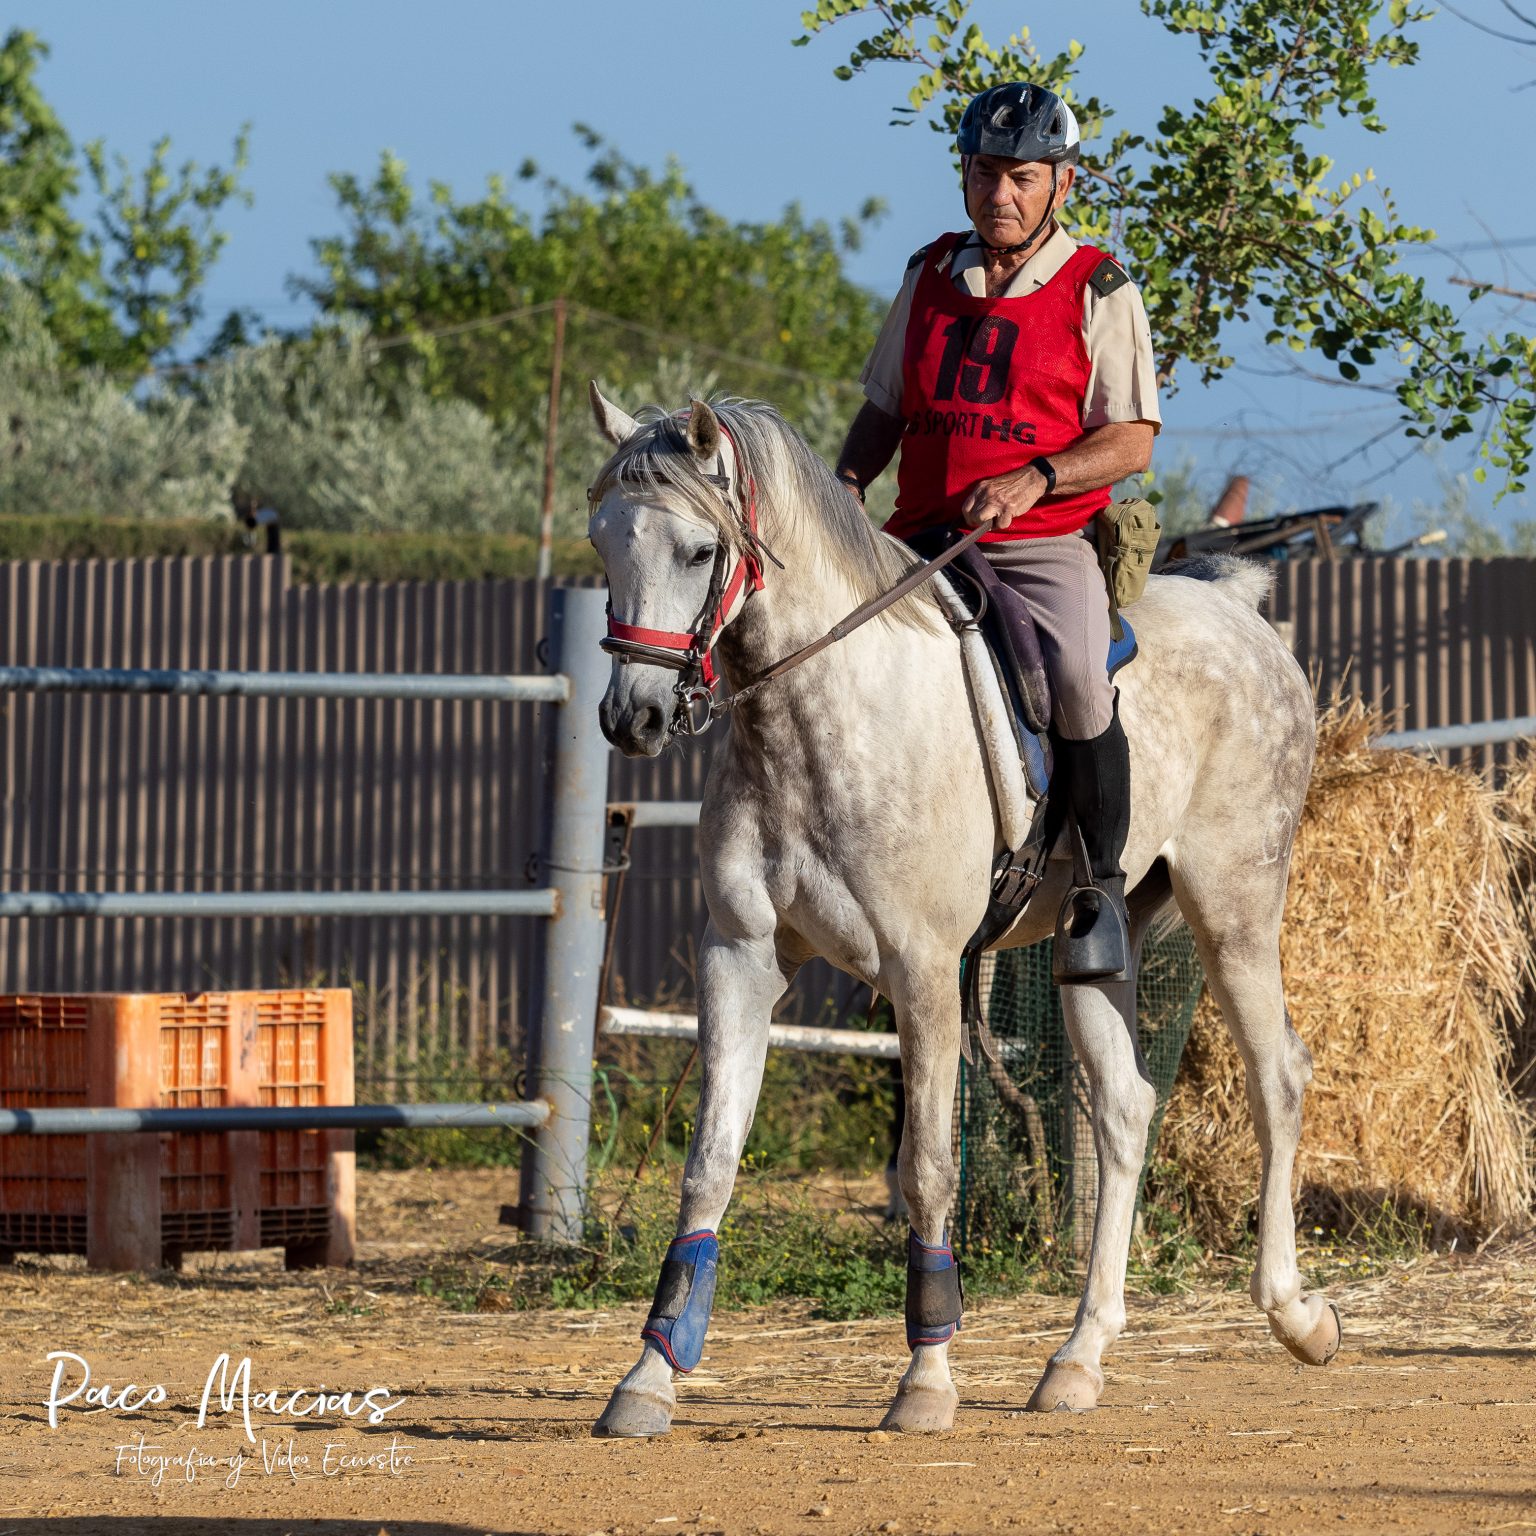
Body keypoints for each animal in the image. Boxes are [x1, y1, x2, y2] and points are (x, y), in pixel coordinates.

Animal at [583, 384, 1340, 1437]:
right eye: (605, 544)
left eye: (699, 551)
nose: (633, 719)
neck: (820, 716)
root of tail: (1238, 607)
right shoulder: (740, 958)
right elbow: (710, 1164)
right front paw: (651, 1374)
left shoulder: (925, 975)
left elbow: (929, 1170)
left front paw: (927, 1378)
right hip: (1096, 949)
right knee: (1124, 1109)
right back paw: (1078, 1359)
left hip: (1234, 907)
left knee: (1278, 1079)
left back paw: (1295, 1314)